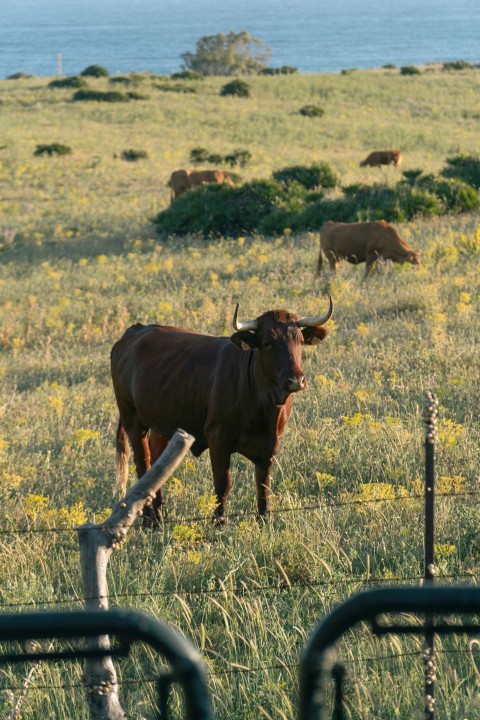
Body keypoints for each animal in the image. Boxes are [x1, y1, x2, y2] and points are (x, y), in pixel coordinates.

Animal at [110, 296, 332, 524]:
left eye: (299, 340)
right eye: (267, 343)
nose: (296, 380)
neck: (264, 408)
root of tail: (136, 330)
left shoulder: (270, 446)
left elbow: (263, 485)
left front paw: (263, 520)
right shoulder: (218, 440)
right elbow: (223, 484)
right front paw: (219, 523)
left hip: (162, 424)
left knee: (157, 464)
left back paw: (159, 517)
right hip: (133, 420)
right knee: (142, 465)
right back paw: (148, 520)